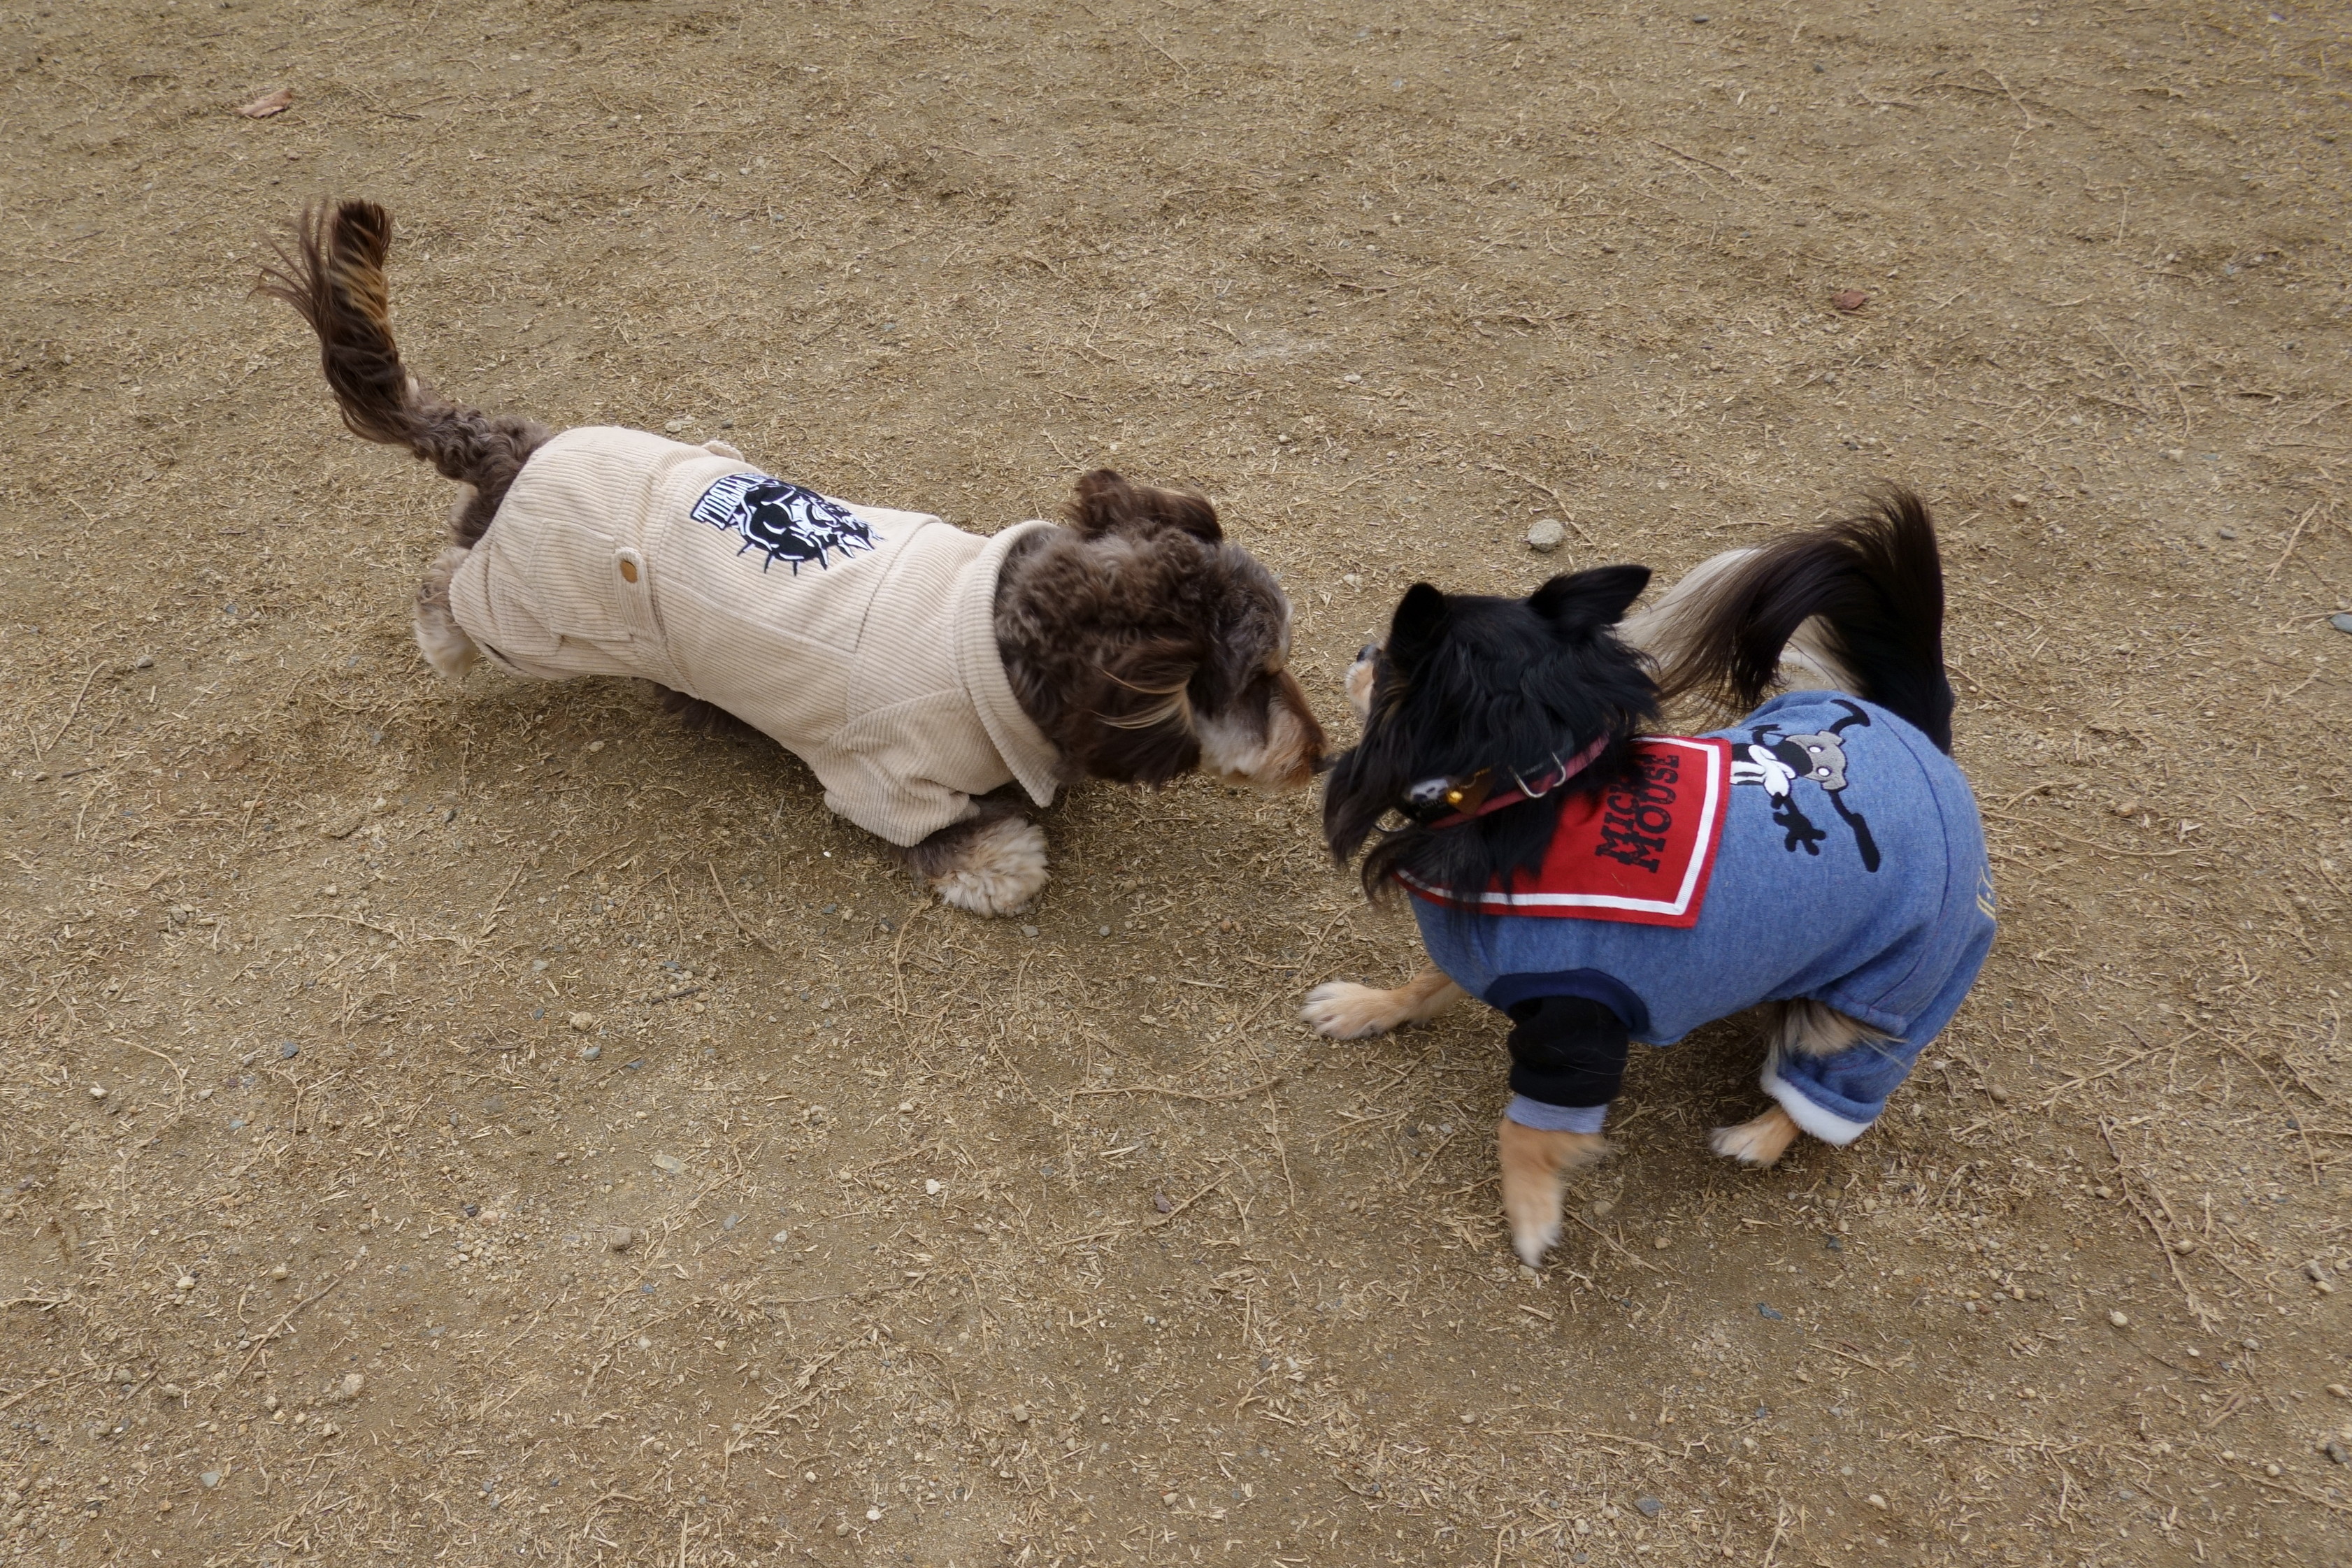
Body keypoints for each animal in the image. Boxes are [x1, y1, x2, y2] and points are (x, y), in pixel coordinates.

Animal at [262, 197, 1326, 912]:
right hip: (539, 615)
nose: (1323, 756)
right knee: (446, 584)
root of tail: (514, 446)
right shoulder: (884, 783)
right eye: (1260, 673)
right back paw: (444, 640)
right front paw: (1001, 856)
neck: (999, 632)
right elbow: (974, 846)